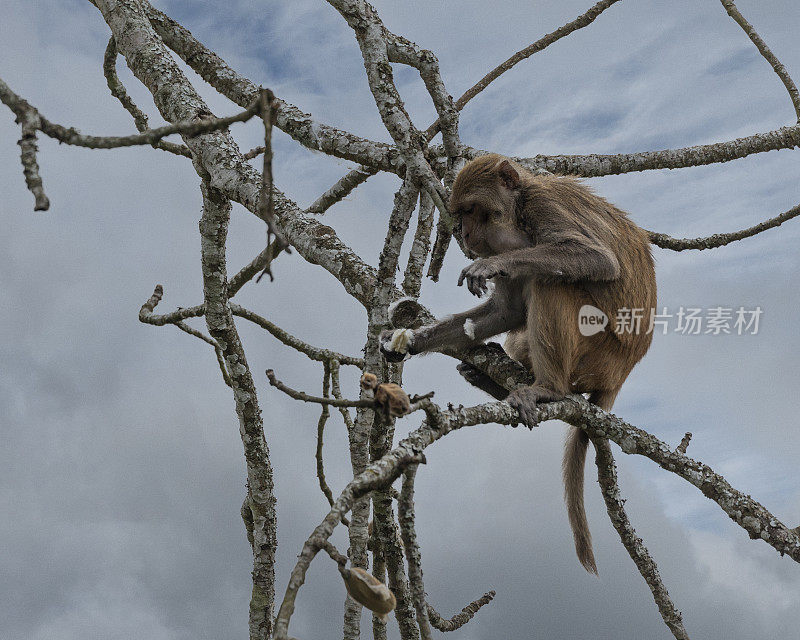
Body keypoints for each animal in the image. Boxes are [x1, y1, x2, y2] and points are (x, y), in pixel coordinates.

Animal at [382, 155, 656, 576]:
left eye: (473, 211)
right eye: (461, 215)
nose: (464, 234)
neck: (519, 213)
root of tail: (624, 371)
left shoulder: (543, 207)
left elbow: (598, 259)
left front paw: (491, 265)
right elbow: (506, 311)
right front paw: (408, 341)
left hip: (599, 353)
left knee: (551, 282)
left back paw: (548, 389)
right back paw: (491, 380)